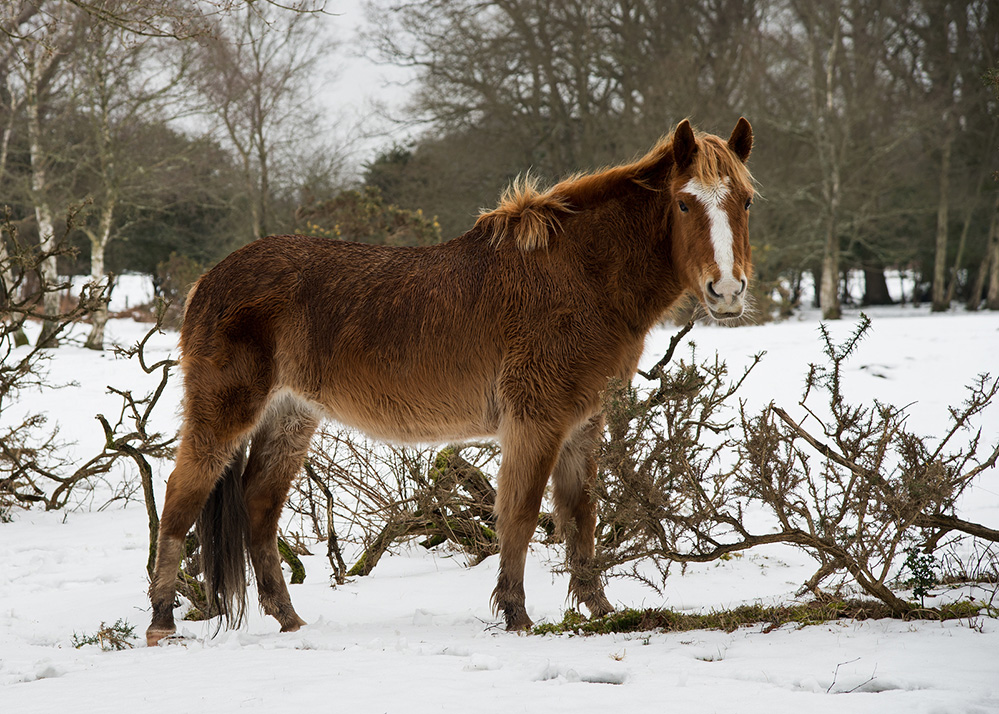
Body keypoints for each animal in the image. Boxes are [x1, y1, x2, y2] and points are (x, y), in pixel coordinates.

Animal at [145, 117, 755, 646]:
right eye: (684, 202)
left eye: (745, 201)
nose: (727, 291)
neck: (579, 276)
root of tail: (207, 281)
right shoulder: (537, 420)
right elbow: (521, 515)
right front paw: (516, 614)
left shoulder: (585, 422)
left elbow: (581, 516)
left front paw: (601, 611)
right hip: (226, 410)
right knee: (181, 497)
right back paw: (161, 622)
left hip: (291, 415)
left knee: (259, 505)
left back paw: (288, 619)